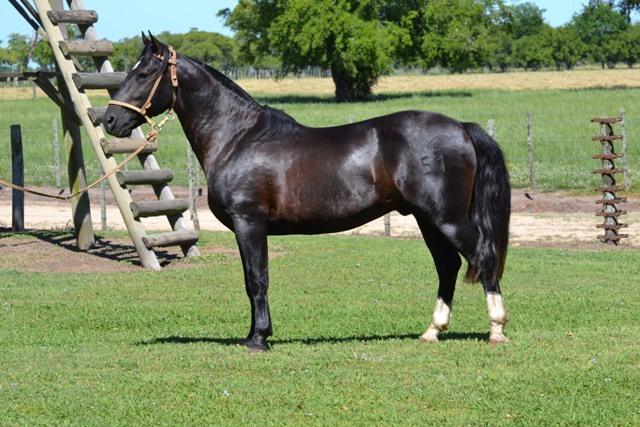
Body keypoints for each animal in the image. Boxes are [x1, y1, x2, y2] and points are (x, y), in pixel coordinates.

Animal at [104, 34, 511, 351]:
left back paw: (496, 329)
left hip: (447, 219)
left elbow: (257, 279)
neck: (238, 138)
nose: (108, 119)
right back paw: (432, 331)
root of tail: (461, 127)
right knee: (448, 266)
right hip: (428, 220)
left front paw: (259, 338)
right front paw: (254, 334)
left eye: (143, 73)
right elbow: (251, 280)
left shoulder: (249, 223)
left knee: (482, 256)